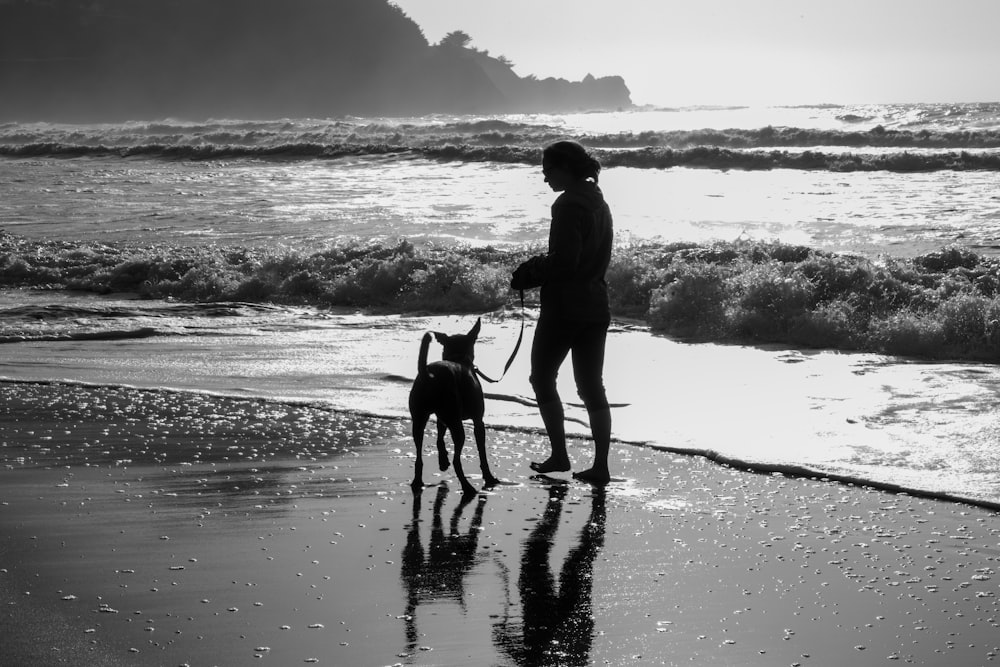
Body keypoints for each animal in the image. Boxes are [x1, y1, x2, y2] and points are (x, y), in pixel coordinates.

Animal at [408, 318, 498, 496]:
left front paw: (443, 460)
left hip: (421, 418)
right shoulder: (478, 421)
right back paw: (467, 487)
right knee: (457, 460)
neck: (458, 358)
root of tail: (430, 375)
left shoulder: (442, 417)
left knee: (419, 454)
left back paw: (418, 481)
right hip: (455, 422)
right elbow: (482, 452)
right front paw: (488, 476)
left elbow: (440, 436)